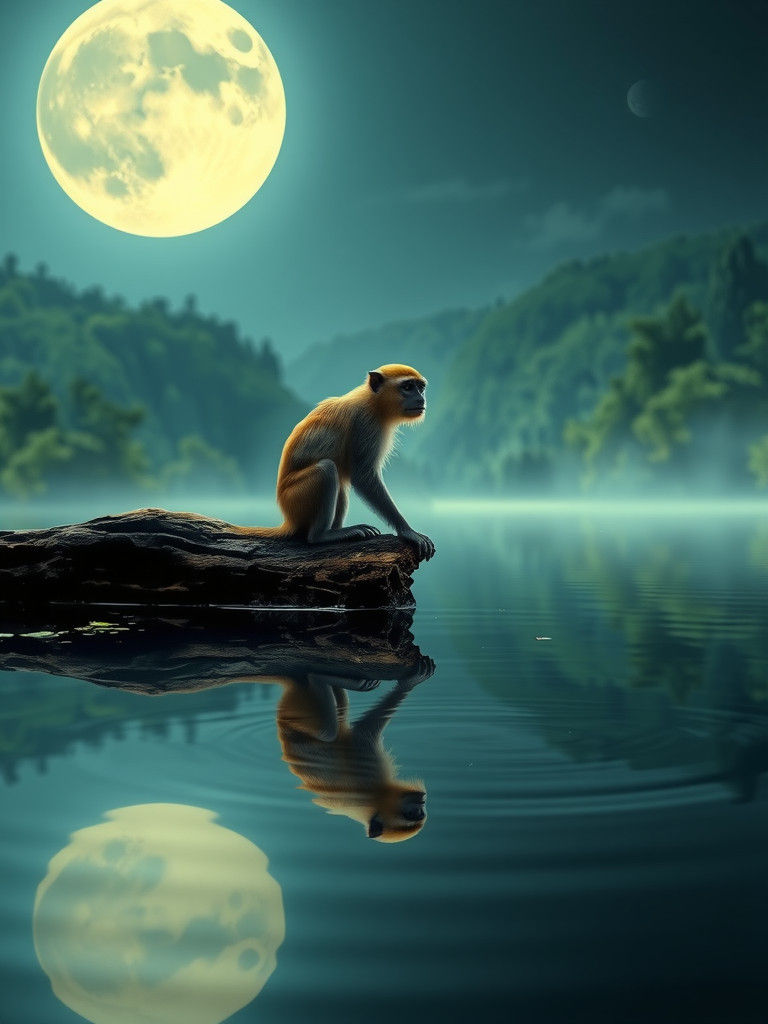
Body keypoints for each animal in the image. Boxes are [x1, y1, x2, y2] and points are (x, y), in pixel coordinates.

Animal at [236, 364, 435, 561]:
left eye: (420, 387)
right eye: (407, 387)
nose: (420, 398)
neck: (374, 401)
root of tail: (288, 519)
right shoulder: (365, 423)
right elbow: (363, 477)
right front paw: (407, 531)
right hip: (295, 497)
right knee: (327, 469)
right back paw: (322, 536)